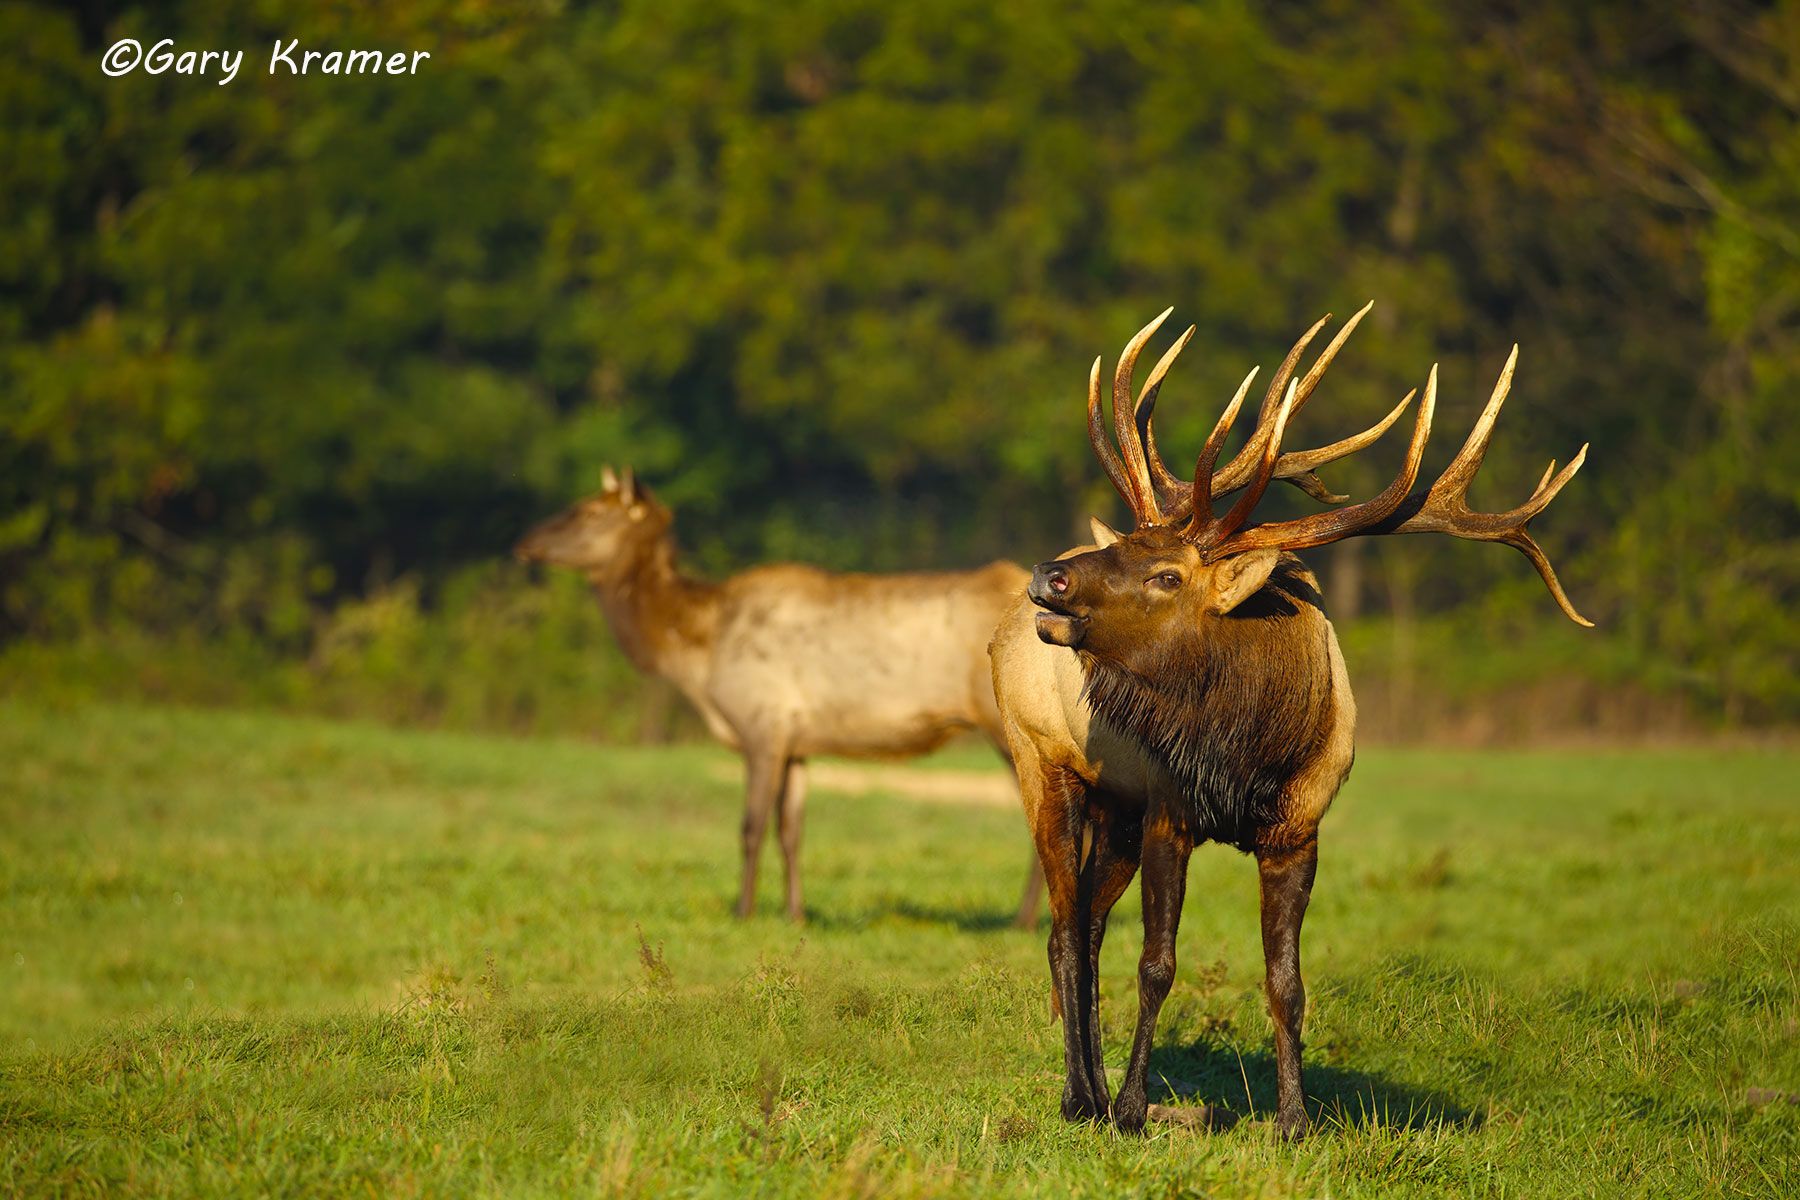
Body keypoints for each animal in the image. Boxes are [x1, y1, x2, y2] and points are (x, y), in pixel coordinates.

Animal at [515, 467, 1044, 924]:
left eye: (589, 511)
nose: (524, 542)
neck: (697, 652)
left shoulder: (761, 725)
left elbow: (750, 827)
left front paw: (742, 911)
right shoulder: (795, 742)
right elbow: (790, 831)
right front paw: (795, 913)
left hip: (1007, 722)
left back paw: (1022, 920)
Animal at [989, 304, 1590, 1138]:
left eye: (1166, 573)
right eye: (1131, 546)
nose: (1052, 575)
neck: (1250, 755)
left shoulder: (1299, 830)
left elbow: (1287, 980)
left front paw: (1296, 1120)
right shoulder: (1171, 812)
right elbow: (1158, 963)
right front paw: (1137, 1110)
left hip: (1115, 807)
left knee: (1086, 922)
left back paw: (1095, 1091)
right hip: (1039, 760)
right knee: (1064, 924)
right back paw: (1083, 1098)